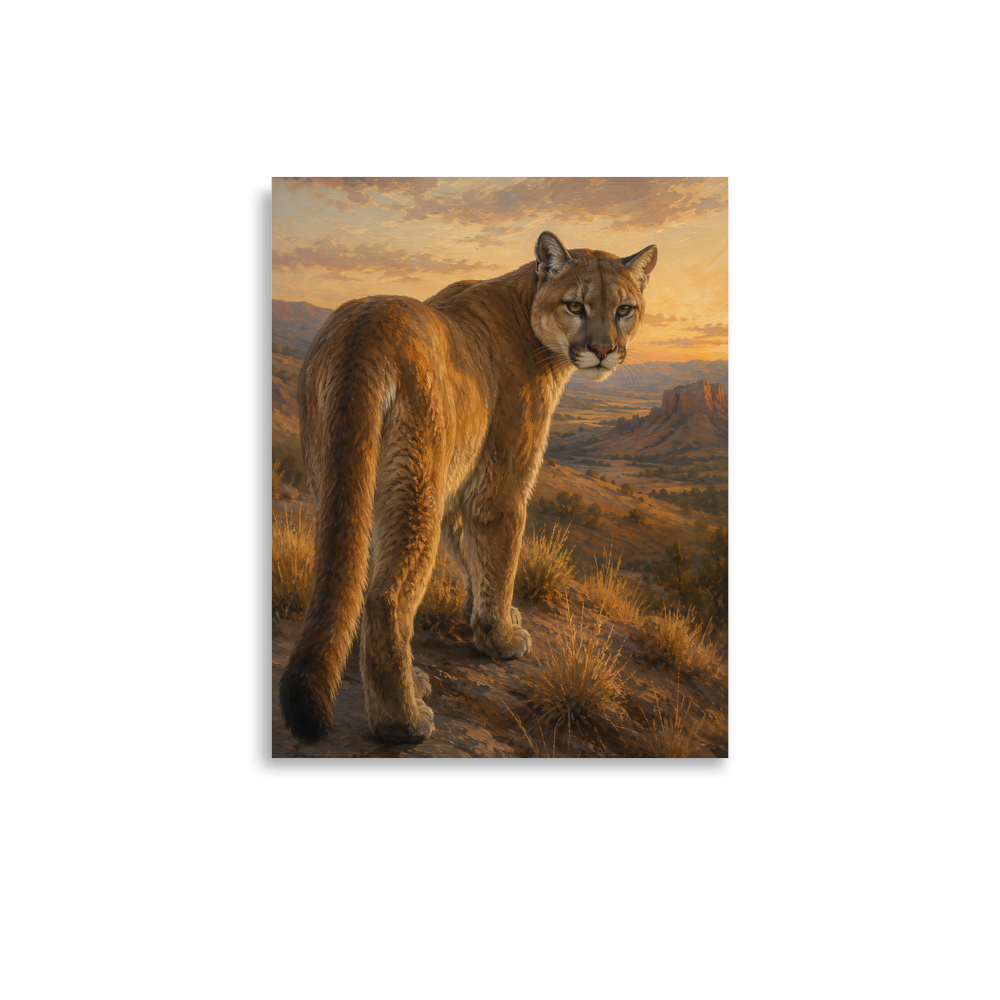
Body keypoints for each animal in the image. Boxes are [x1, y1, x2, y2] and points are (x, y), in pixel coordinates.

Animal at [279, 230, 657, 745]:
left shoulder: (461, 486)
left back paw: (410, 681)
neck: (526, 308)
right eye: (576, 305)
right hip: (417, 483)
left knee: (352, 579)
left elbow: (474, 560)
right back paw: (404, 721)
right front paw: (501, 638)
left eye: (624, 309)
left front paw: (482, 620)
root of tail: (362, 329)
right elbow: (501, 559)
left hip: (342, 482)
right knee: (386, 598)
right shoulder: (501, 483)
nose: (602, 350)